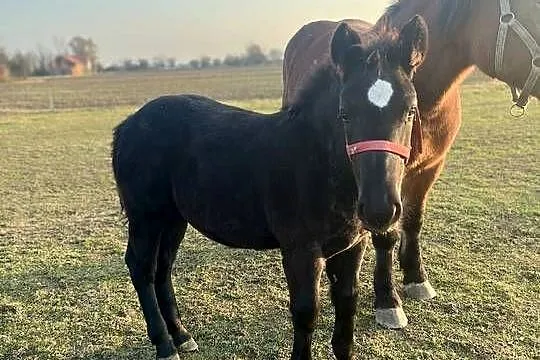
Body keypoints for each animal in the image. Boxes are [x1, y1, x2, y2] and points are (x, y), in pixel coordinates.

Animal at [282, 0, 540, 330]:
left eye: (410, 110)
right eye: (532, 11)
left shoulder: (429, 168)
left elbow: (413, 220)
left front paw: (415, 277)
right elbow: (385, 234)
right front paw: (387, 300)